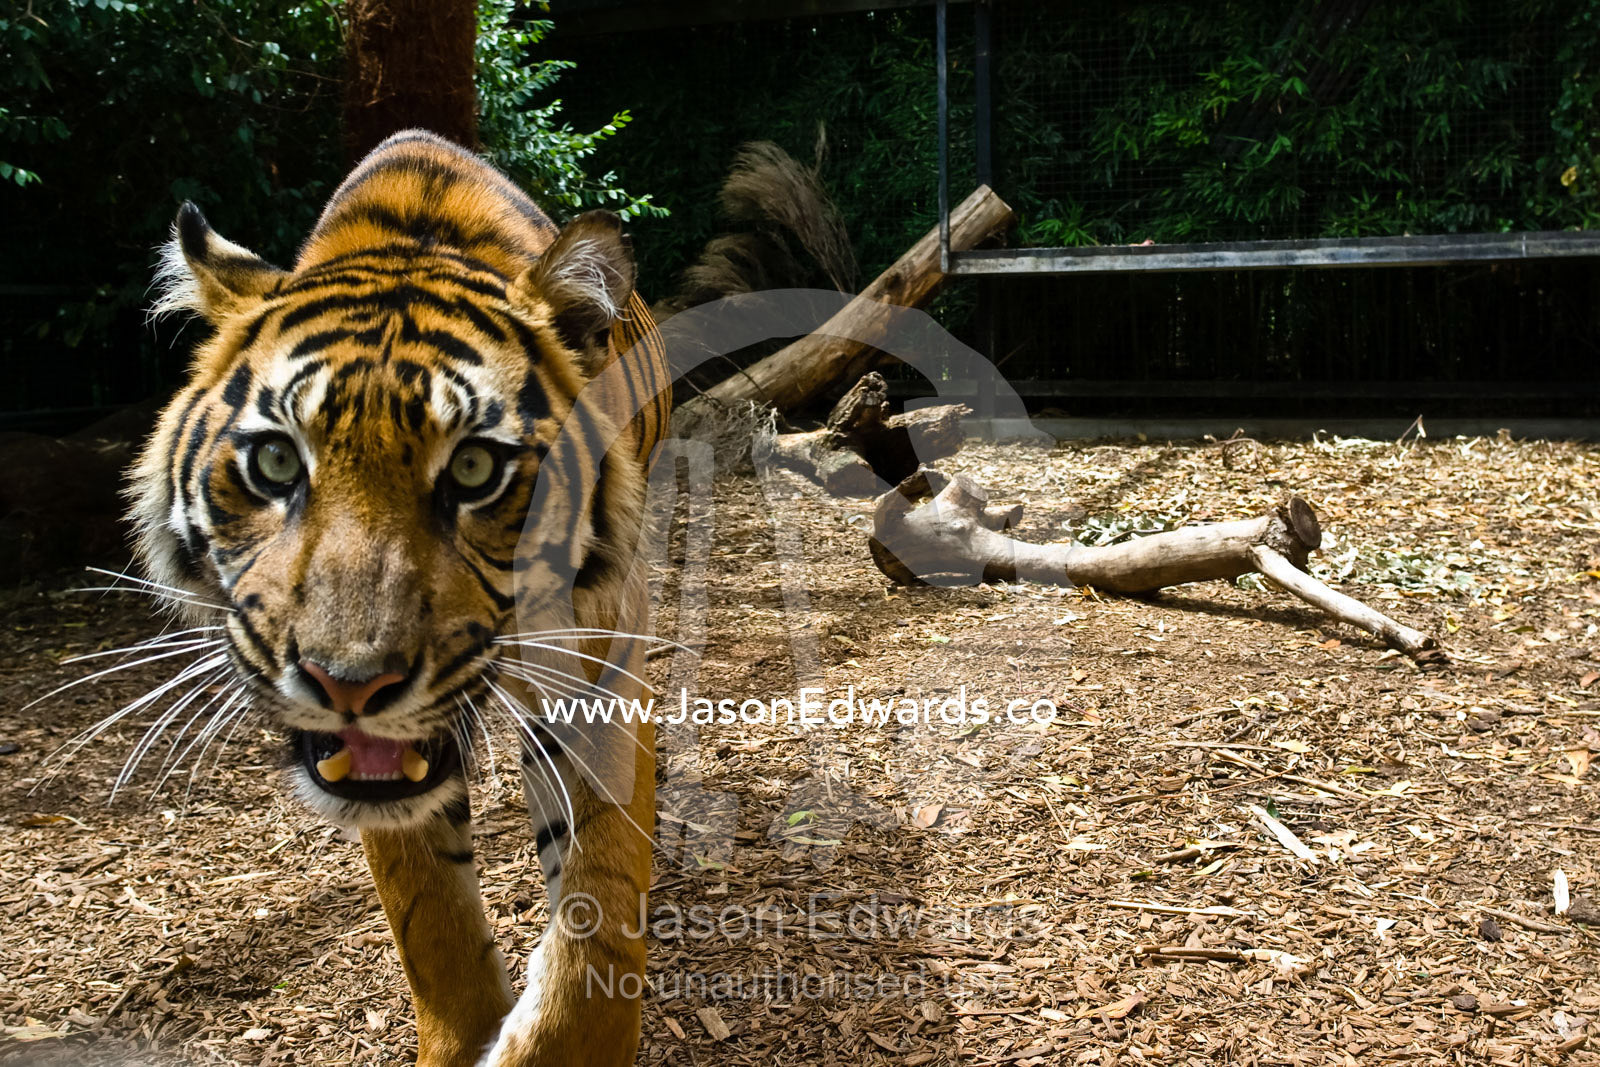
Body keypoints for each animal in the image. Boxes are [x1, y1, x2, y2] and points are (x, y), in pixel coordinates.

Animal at [130, 129, 670, 1066]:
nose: (349, 682)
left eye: (475, 468)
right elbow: (432, 916)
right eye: (276, 460)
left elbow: (600, 899)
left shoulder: (602, 648)